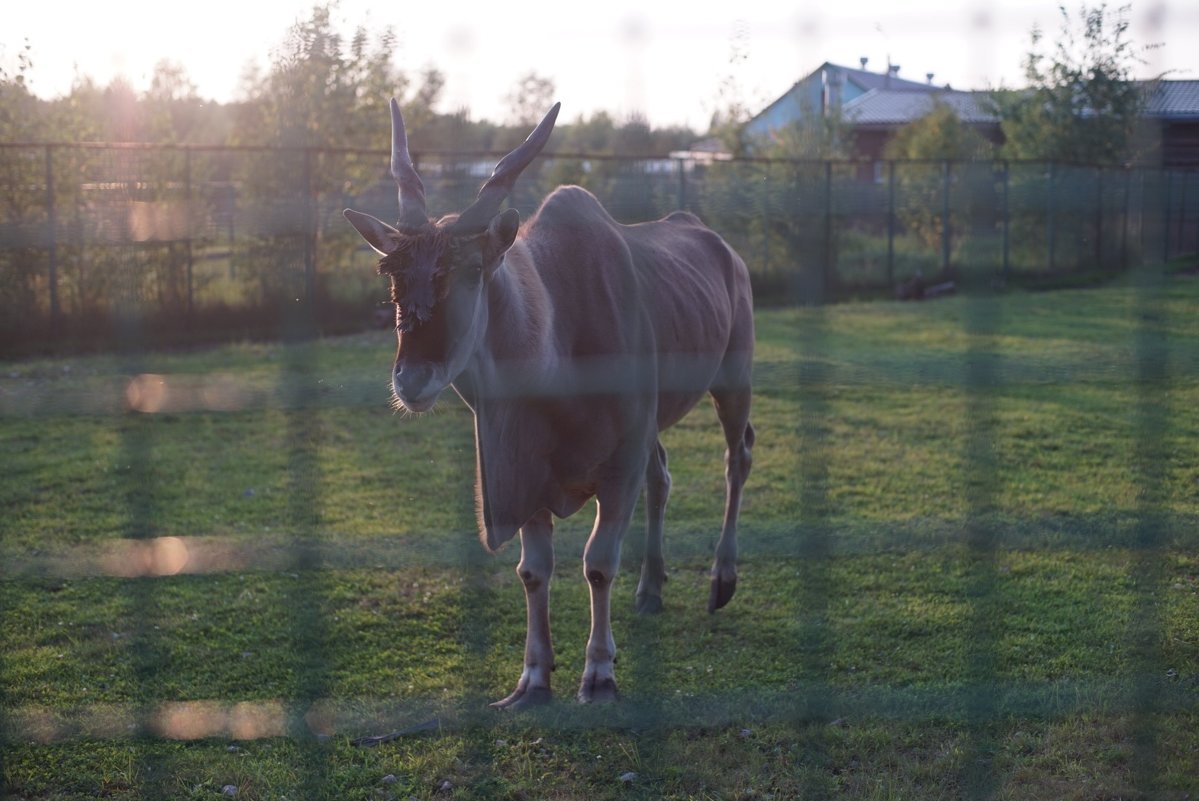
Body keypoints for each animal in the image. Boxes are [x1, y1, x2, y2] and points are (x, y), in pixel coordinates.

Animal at [342, 100, 752, 705]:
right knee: (662, 476)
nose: (412, 380)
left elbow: (598, 564)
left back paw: (722, 580)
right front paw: (533, 677)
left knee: (736, 457)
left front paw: (599, 673)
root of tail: (720, 245)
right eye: (390, 273)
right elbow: (533, 570)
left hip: (733, 379)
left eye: (471, 270)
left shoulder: (618, 467)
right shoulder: (530, 475)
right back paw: (651, 588)